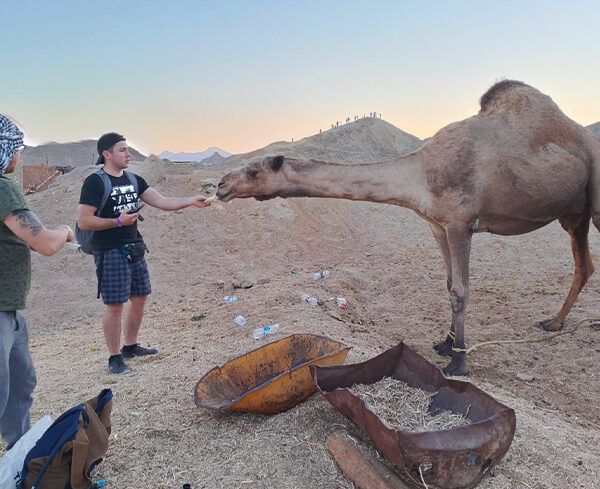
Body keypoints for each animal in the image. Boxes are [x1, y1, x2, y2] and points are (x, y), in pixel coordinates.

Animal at [218, 82, 600, 376]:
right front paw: (445, 344)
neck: (421, 174)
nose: (220, 185)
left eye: (253, 171)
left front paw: (459, 363)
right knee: (584, 265)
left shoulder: (461, 223)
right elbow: (447, 284)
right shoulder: (437, 225)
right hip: (572, 213)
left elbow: (461, 291)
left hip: (592, 202)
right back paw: (554, 323)